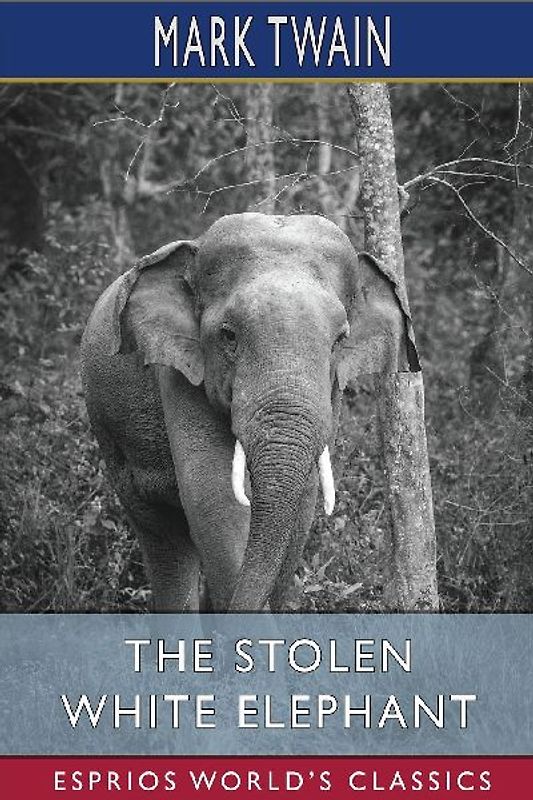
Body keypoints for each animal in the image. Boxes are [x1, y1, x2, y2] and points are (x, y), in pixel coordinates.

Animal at [81, 213, 418, 612]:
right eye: (228, 336)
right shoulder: (180, 373)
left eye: (339, 341)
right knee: (164, 538)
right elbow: (215, 495)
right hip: (112, 438)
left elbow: (303, 502)